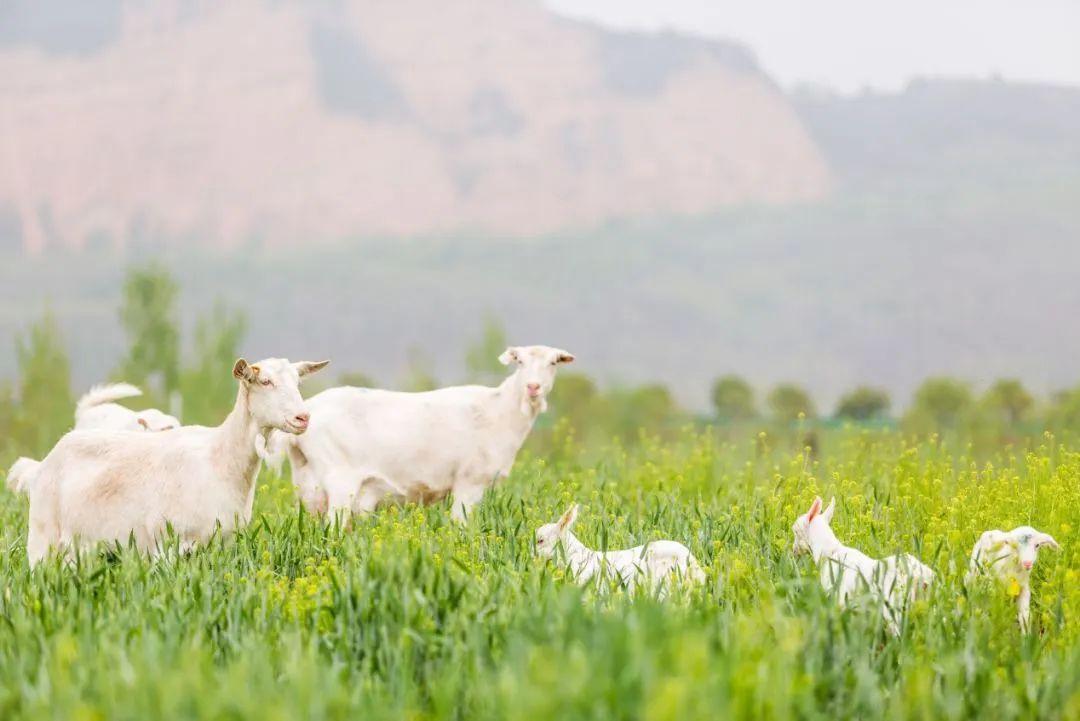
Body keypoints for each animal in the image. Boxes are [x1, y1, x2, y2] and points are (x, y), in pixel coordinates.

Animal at [270, 345, 574, 520]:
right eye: (519, 361)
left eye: (553, 363)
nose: (533, 387)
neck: (500, 409)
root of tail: (307, 410)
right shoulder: (469, 482)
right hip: (340, 482)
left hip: (308, 484)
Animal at [790, 496, 933, 634]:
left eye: (795, 531)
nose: (794, 551)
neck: (830, 552)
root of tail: (919, 574)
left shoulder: (839, 598)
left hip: (893, 605)